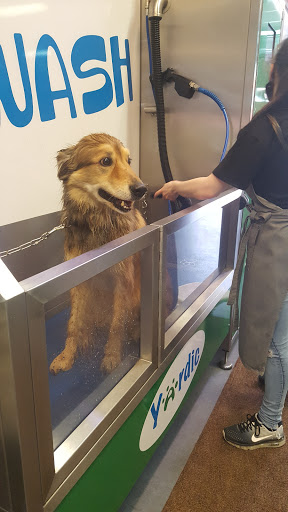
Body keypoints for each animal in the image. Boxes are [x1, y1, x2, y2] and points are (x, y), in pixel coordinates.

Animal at [49, 132, 146, 374]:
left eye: (129, 161)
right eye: (106, 161)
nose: (142, 189)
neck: (98, 222)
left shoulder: (123, 280)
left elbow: (117, 323)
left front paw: (111, 356)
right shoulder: (78, 281)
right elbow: (73, 323)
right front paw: (66, 356)